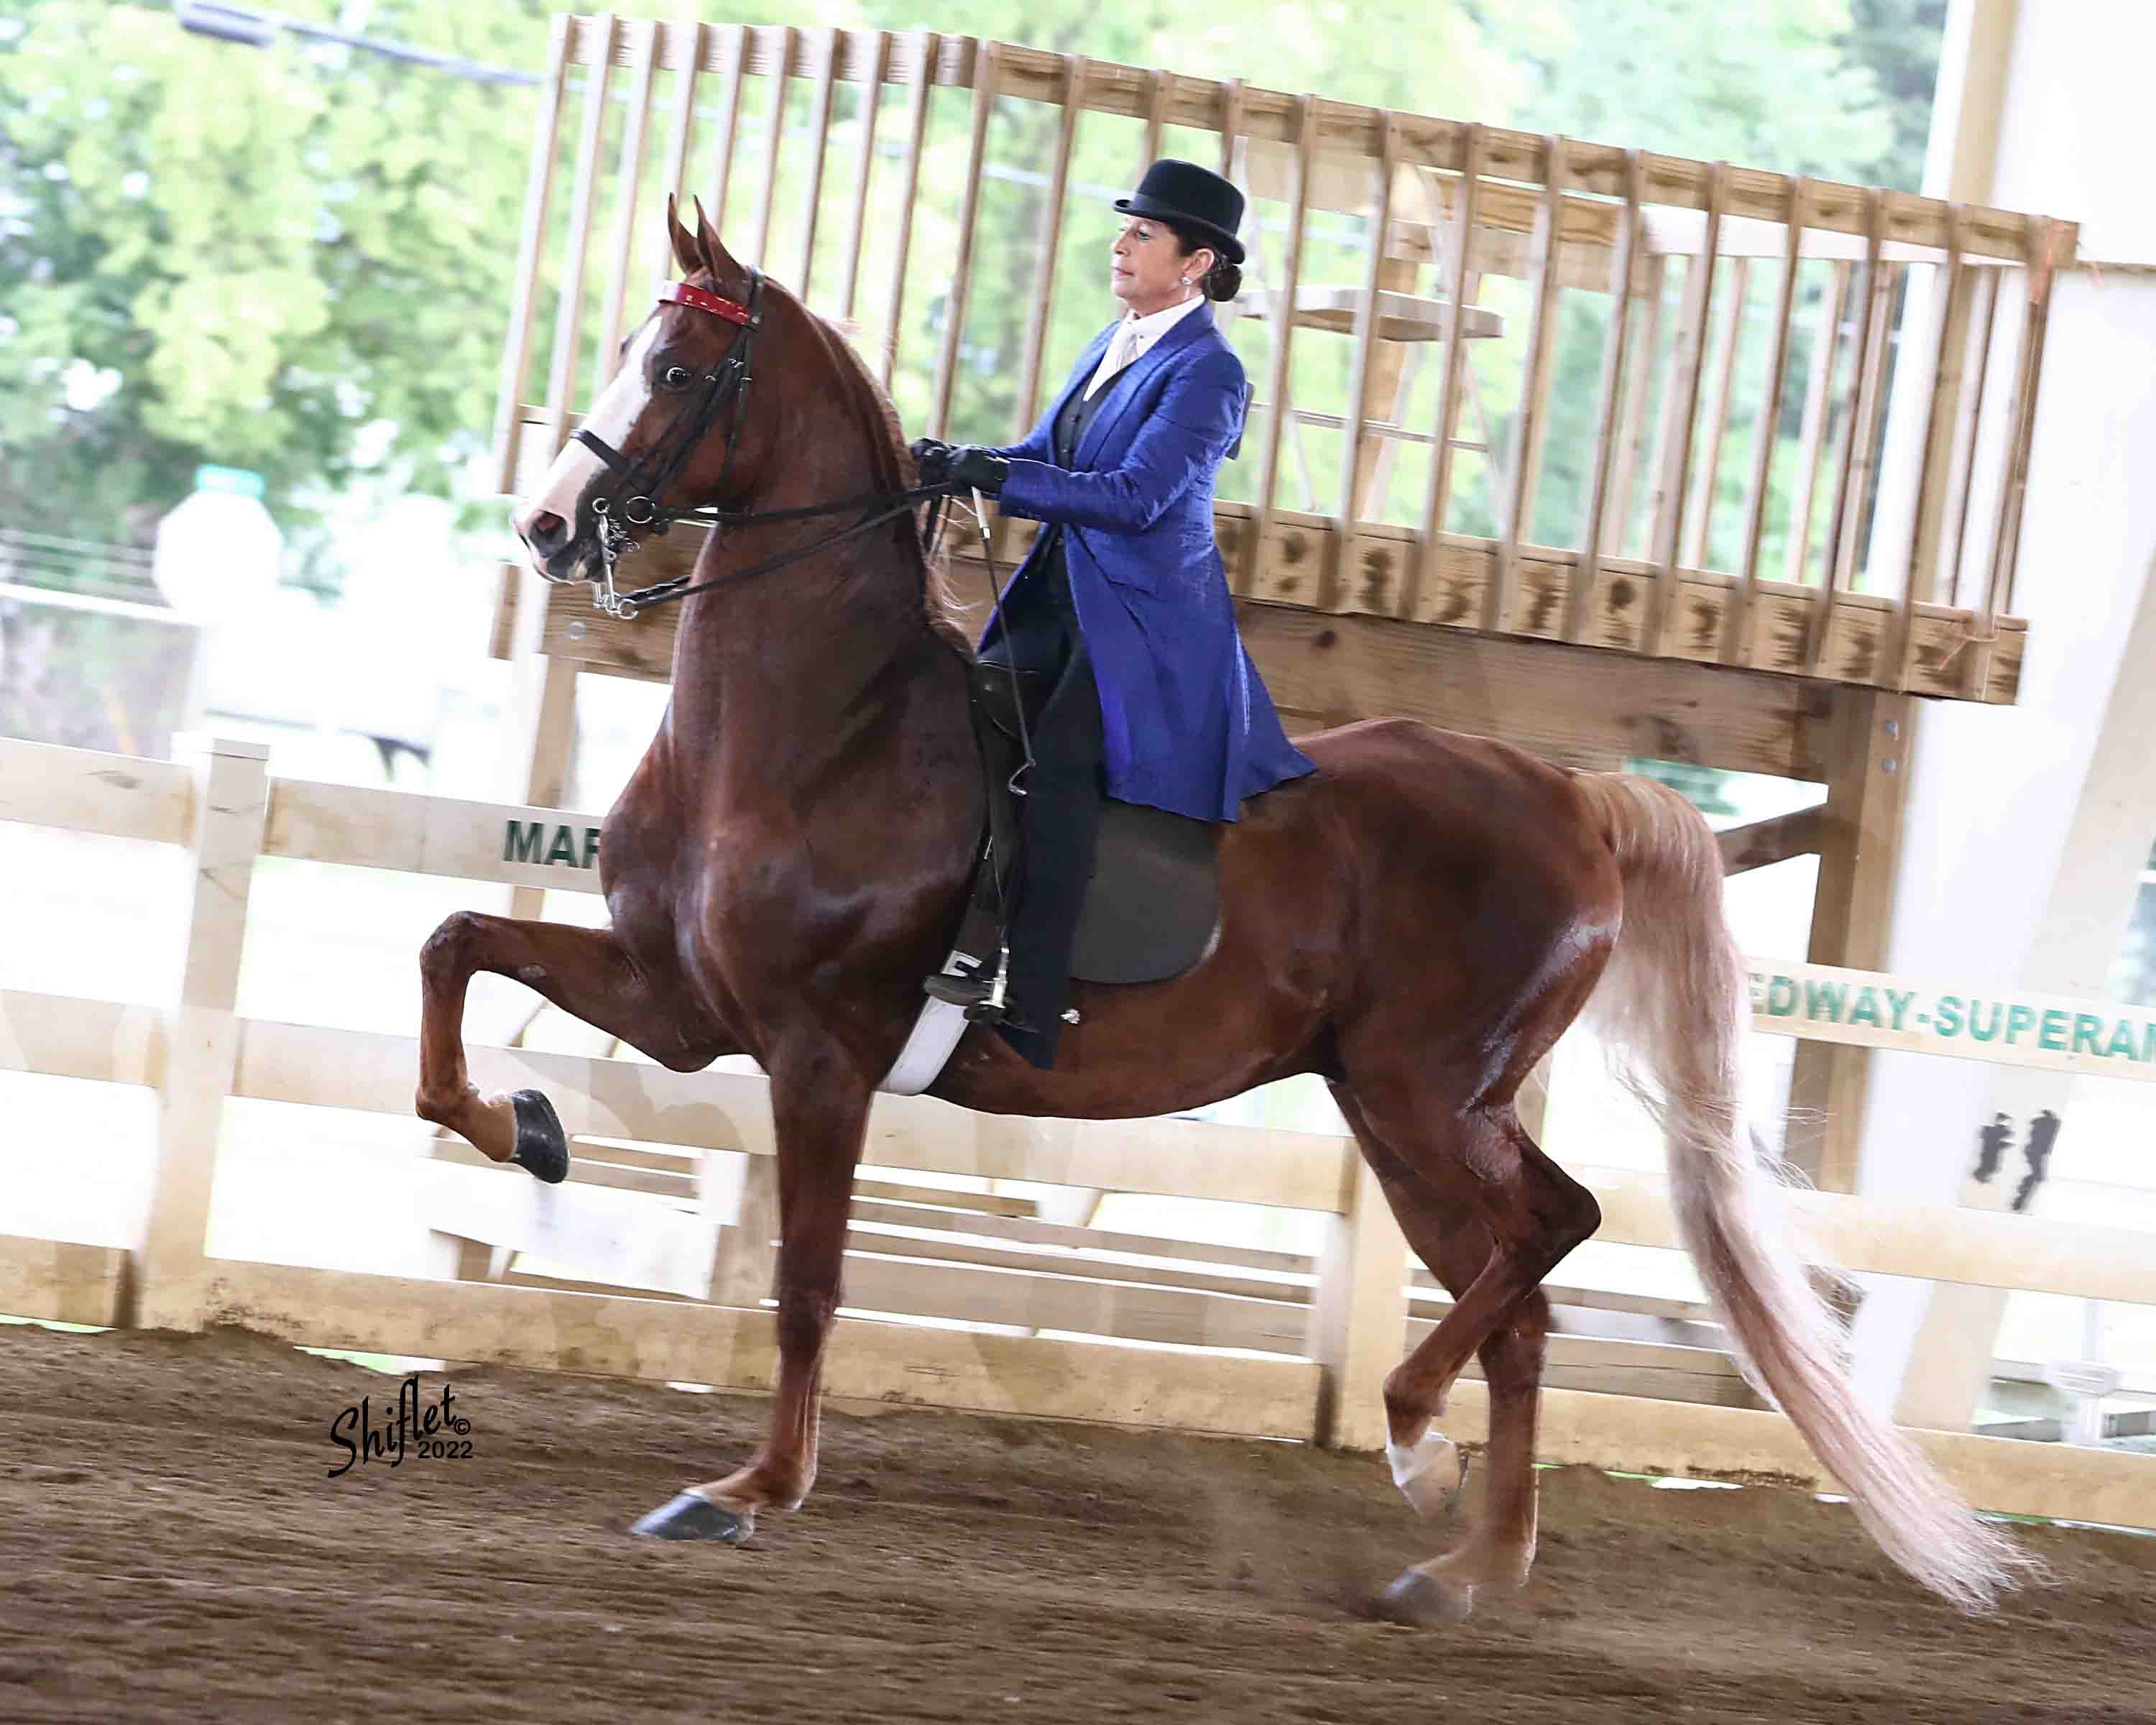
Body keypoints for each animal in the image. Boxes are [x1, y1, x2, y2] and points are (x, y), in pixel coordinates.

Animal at [415, 196, 2025, 1622]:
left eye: (685, 372)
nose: (547, 529)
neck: (821, 725)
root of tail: (1577, 796)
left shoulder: (819, 1055)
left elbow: (809, 1282)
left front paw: (749, 1494)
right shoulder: (681, 1002)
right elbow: (454, 951)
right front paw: (527, 1128)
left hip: (1427, 1095)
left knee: (1551, 1232)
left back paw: (1413, 1442)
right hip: (1408, 1112)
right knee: (1523, 1300)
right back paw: (1465, 1568)